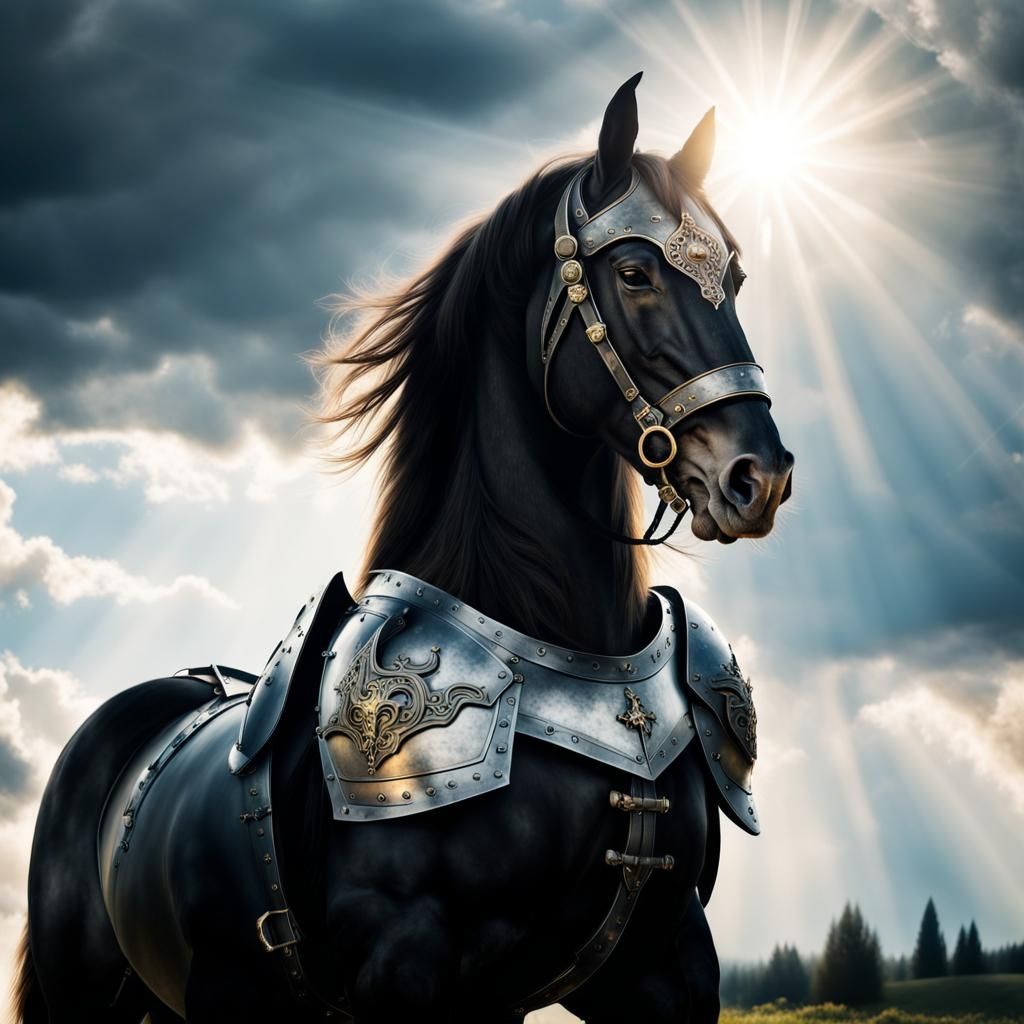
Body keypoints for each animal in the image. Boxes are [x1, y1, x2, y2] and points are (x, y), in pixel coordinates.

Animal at [16, 74, 793, 1023]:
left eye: (736, 278)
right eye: (635, 272)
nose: (758, 475)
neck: (571, 653)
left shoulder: (666, 964)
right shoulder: (407, 964)